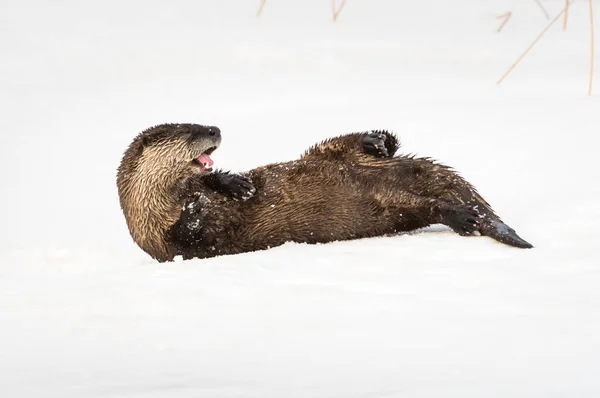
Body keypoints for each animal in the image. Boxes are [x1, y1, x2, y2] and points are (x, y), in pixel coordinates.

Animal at [117, 123, 536, 262]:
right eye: (190, 130)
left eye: (201, 123)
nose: (215, 128)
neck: (155, 209)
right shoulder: (165, 244)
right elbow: (191, 237)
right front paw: (195, 208)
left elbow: (214, 182)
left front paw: (236, 183)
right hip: (395, 209)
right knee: (432, 208)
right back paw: (464, 216)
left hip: (335, 157)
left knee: (349, 144)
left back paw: (376, 140)